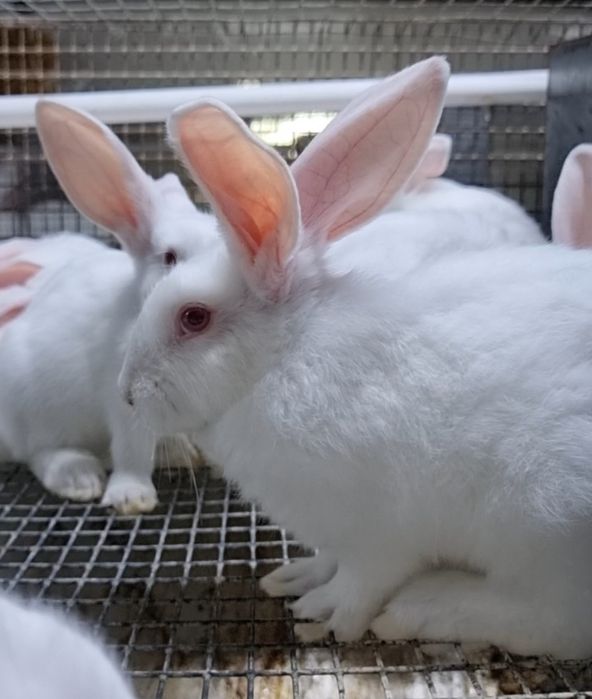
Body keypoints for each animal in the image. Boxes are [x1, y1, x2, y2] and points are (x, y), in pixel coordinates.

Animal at [0, 101, 218, 513]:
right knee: (42, 453)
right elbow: (132, 450)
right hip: (35, 412)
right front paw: (132, 497)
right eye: (170, 257)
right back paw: (80, 479)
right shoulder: (125, 398)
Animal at [119, 56, 592, 658]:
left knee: (553, 619)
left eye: (193, 318)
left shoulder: (381, 533)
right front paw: (296, 577)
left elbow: (362, 583)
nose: (127, 392)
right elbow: (331, 562)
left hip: (544, 517)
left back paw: (424, 608)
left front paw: (324, 614)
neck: (284, 357)